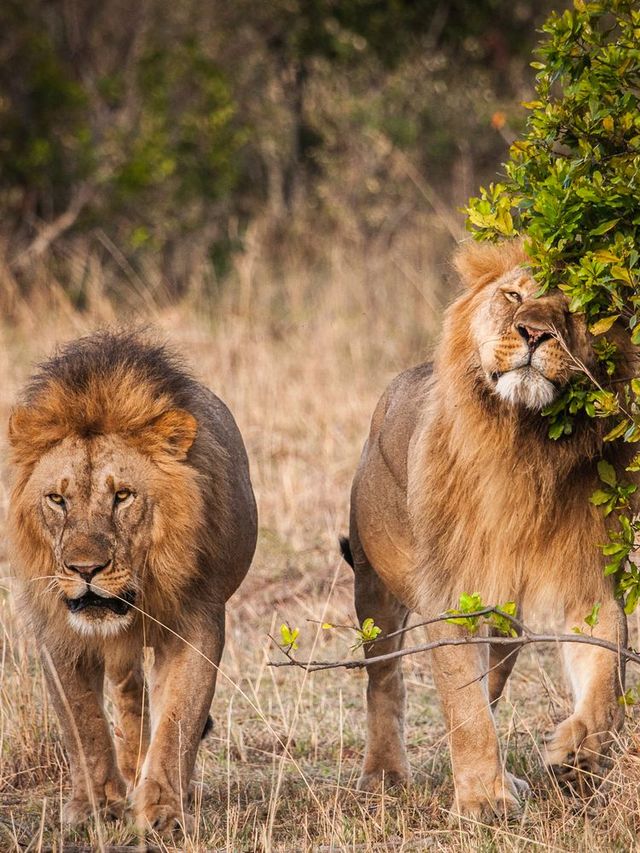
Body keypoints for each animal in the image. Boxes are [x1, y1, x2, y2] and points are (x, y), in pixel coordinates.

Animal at [7, 328, 258, 832]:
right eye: (57, 499)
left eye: (122, 496)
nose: (85, 570)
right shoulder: (57, 631)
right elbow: (82, 724)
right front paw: (94, 806)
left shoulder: (197, 621)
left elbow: (179, 717)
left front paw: (161, 811)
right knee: (126, 689)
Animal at [342, 240, 636, 820]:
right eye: (514, 295)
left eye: (573, 308)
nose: (535, 334)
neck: (526, 443)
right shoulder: (452, 595)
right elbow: (465, 708)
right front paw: (483, 802)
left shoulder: (589, 585)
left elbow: (606, 683)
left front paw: (577, 756)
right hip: (374, 586)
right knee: (385, 680)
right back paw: (385, 775)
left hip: (507, 624)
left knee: (495, 684)